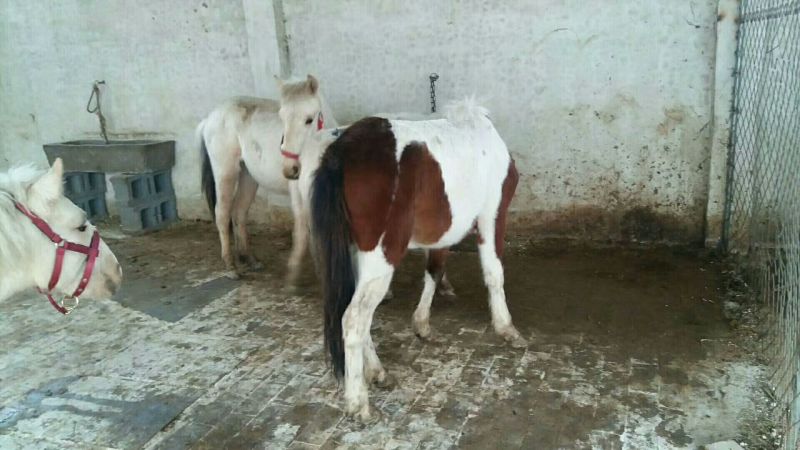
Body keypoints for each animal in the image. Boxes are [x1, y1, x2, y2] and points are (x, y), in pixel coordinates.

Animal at [310, 99, 526, 422]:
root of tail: (341, 153)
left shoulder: (443, 235)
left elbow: (434, 271)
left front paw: (422, 323)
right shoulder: (492, 217)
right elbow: (493, 272)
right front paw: (505, 327)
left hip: (356, 255)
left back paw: (377, 372)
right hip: (381, 257)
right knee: (354, 318)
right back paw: (358, 402)